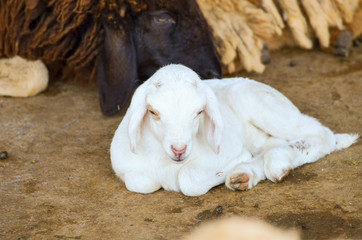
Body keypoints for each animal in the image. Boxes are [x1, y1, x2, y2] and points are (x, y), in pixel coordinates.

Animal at [111, 64, 360, 197]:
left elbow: (189, 180)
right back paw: (246, 174)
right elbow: (140, 183)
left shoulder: (228, 147)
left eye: (199, 112)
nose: (179, 149)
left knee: (320, 134)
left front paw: (234, 164)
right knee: (274, 143)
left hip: (265, 106)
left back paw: (271, 164)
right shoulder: (128, 168)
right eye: (153, 112)